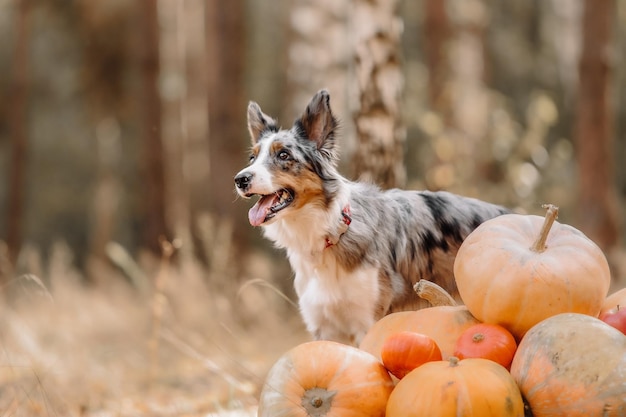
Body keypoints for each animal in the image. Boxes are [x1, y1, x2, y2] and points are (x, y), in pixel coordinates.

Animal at [232, 90, 504, 344]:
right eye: (252, 158)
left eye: (284, 155)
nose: (240, 179)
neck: (331, 232)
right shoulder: (324, 327)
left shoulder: (368, 321)